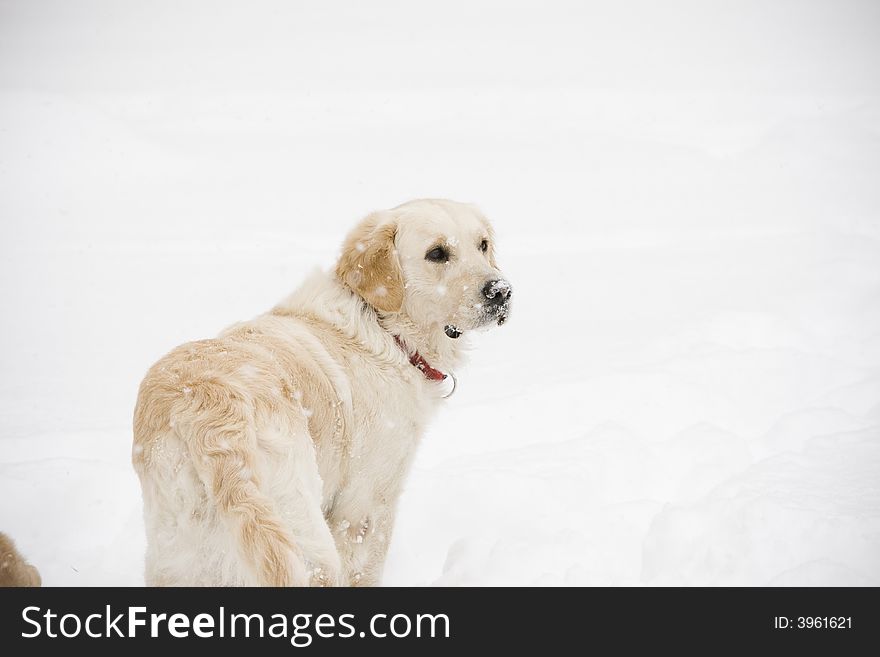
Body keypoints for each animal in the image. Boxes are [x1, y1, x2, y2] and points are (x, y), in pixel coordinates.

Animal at [133, 199, 512, 584]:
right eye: (437, 253)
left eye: (482, 245)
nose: (500, 292)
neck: (386, 330)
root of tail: (203, 404)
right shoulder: (366, 505)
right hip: (306, 537)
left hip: (177, 555)